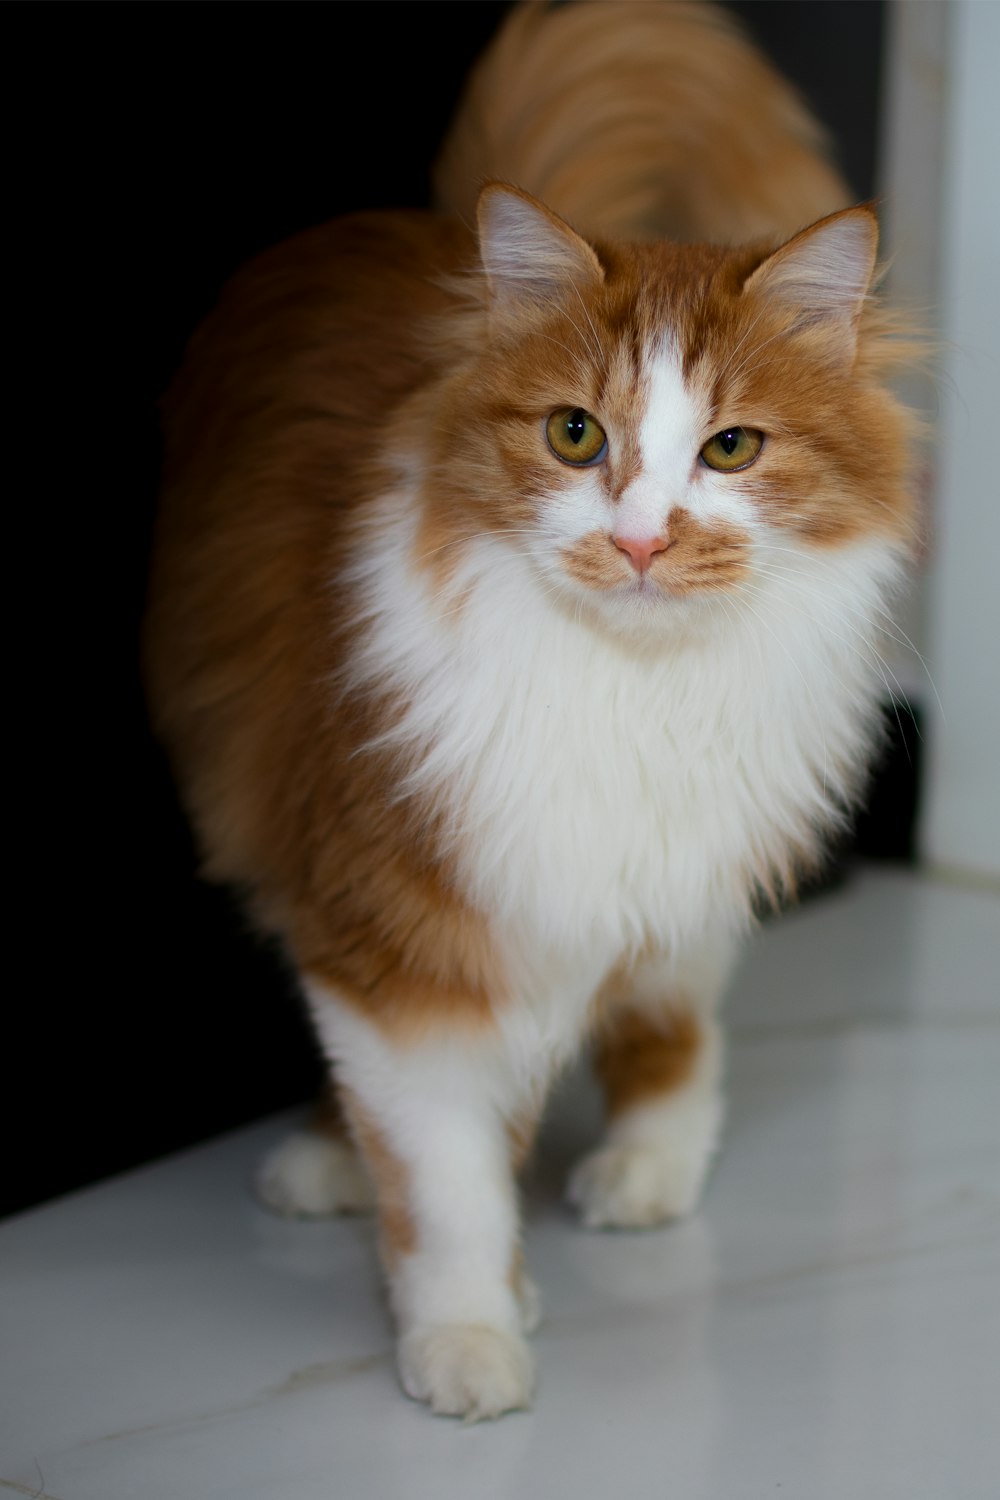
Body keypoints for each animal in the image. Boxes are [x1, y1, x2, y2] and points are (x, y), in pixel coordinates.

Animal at [142, 0, 923, 1422]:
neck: (624, 692)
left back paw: (649, 1173)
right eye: (573, 436)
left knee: (676, 1021)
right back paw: (328, 1163)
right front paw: (472, 1328)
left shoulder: (655, 854)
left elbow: (578, 1081)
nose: (641, 541)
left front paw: (487, 1310)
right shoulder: (404, 927)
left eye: (730, 448)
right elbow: (445, 1175)